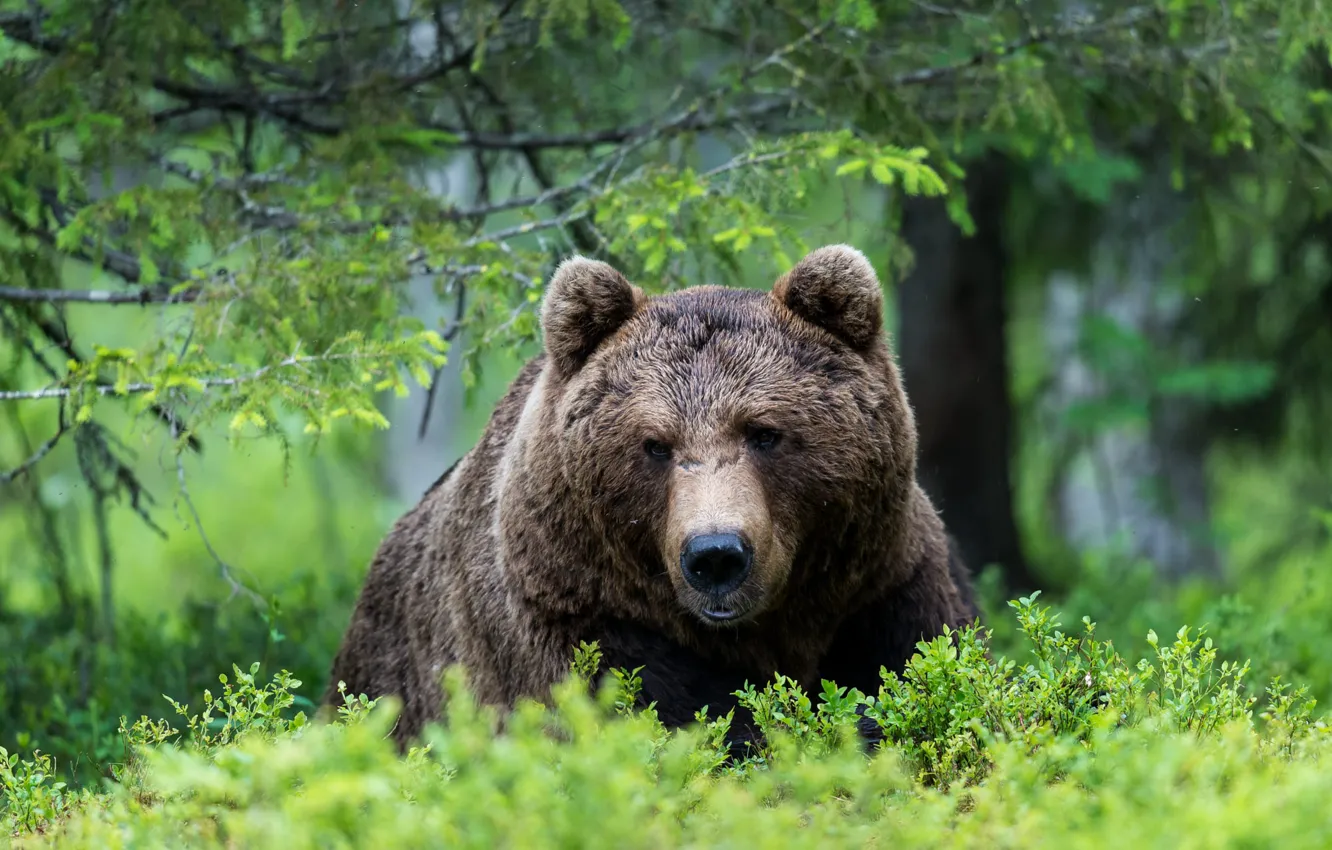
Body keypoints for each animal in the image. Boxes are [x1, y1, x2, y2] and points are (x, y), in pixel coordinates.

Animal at [322, 243, 981, 751]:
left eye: (764, 432)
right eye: (656, 444)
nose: (716, 555)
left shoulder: (880, 585)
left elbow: (918, 671)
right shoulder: (571, 612)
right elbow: (665, 712)